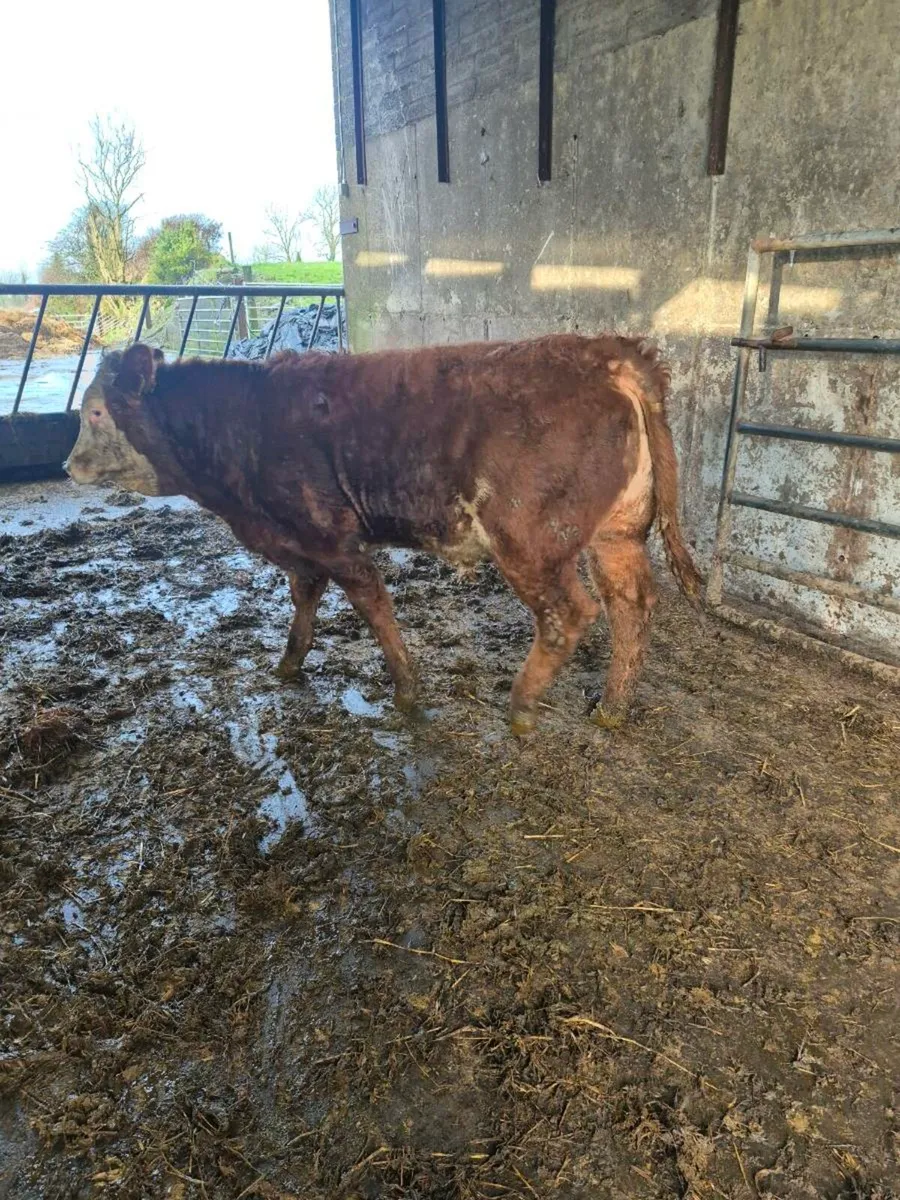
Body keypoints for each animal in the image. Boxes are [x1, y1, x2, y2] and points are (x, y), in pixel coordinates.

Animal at [65, 335, 702, 734]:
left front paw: (407, 691)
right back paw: (613, 706)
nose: (69, 466)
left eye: (95, 413)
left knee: (569, 614)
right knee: (631, 605)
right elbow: (304, 599)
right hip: (616, 535)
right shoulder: (299, 546)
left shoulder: (333, 539)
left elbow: (373, 608)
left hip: (530, 540)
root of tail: (606, 351)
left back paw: (522, 704)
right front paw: (289, 664)